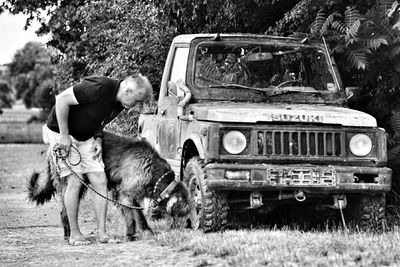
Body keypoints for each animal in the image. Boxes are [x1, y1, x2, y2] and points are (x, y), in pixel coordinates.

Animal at [28, 132, 191, 243]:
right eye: (185, 212)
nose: (189, 226)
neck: (154, 171)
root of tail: (51, 149)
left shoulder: (122, 195)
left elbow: (129, 216)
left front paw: (130, 234)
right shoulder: (127, 193)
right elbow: (138, 216)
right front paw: (146, 231)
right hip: (72, 181)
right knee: (64, 211)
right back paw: (70, 236)